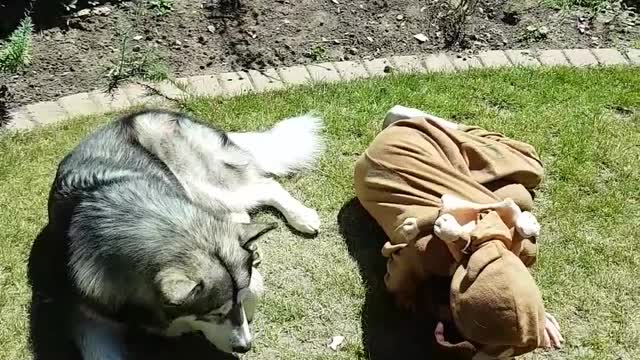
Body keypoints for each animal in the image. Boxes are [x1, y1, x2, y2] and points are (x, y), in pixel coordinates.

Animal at [38, 109, 322, 358]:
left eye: (227, 310)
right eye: (214, 314)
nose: (246, 347)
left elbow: (254, 287)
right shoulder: (87, 317)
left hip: (200, 184)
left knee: (266, 185)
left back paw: (302, 217)